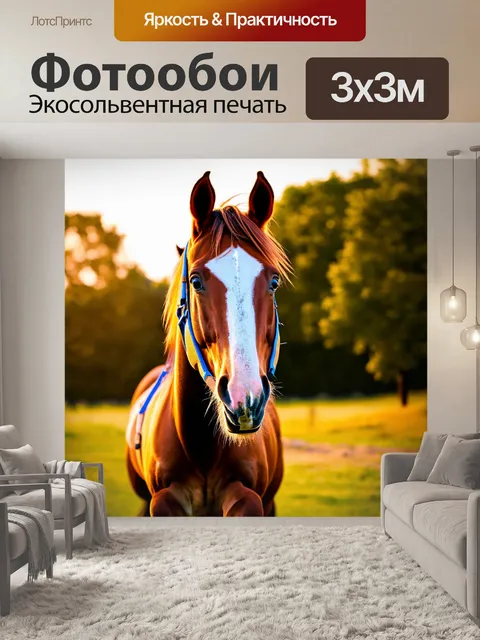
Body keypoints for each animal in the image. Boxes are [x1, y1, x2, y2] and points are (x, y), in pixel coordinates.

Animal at [125, 171, 292, 516]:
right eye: (196, 281)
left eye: (273, 281)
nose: (245, 398)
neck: (201, 446)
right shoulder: (162, 500)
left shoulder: (248, 497)